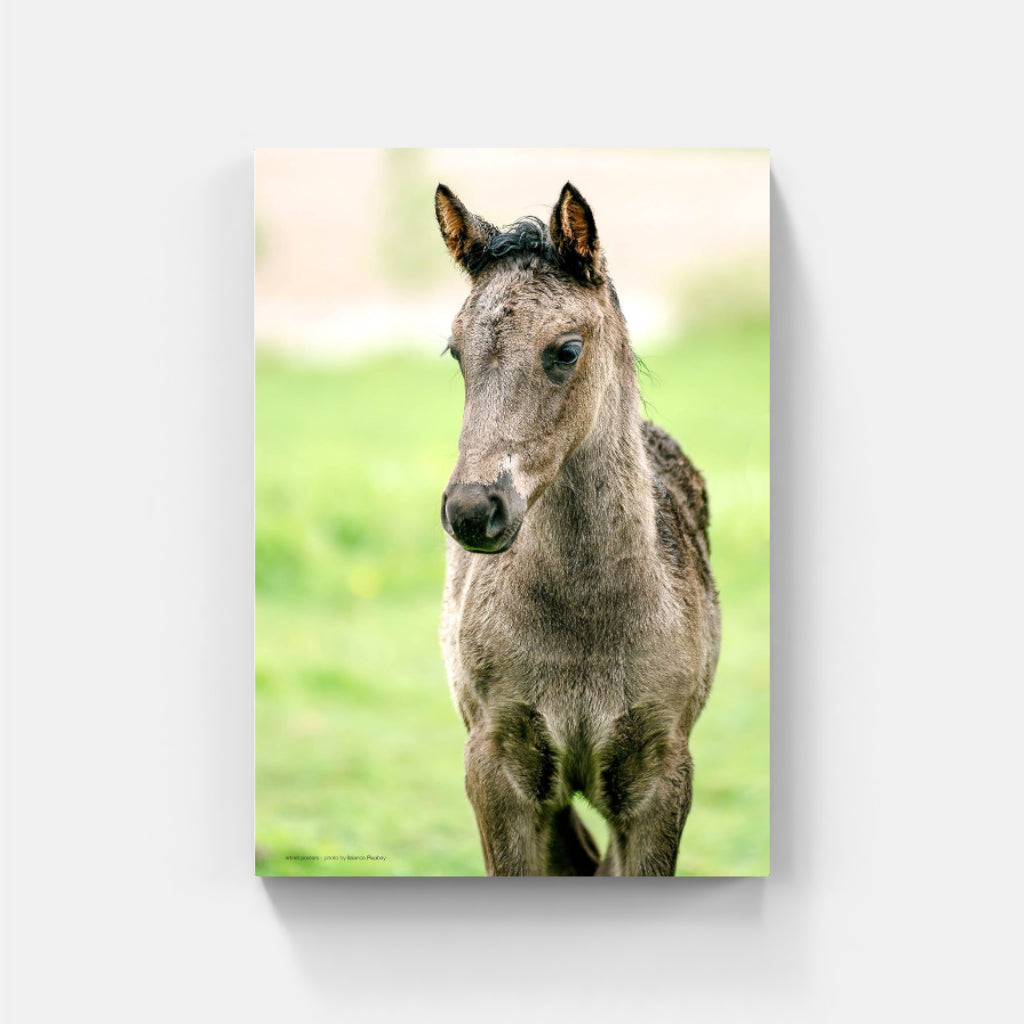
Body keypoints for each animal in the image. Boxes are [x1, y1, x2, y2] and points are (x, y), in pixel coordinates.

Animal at [435, 182, 720, 876]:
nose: (473, 510)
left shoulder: (660, 777)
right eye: (457, 351)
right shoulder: (497, 768)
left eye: (566, 349)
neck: (586, 622)